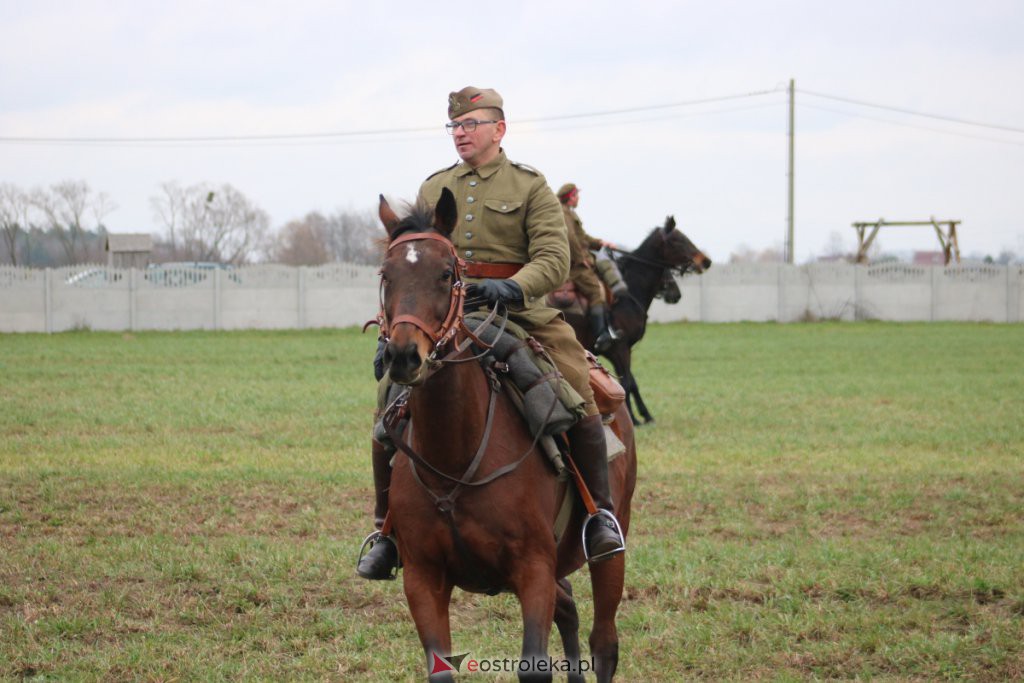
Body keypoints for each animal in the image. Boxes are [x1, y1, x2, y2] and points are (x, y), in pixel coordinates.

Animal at [372, 188, 634, 683]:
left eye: (447, 273)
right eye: (386, 275)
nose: (401, 356)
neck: (455, 458)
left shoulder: (534, 570)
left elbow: (534, 666)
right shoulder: (422, 578)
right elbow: (440, 668)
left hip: (612, 542)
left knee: (604, 642)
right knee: (569, 608)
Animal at [552, 216, 712, 423]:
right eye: (678, 240)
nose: (705, 261)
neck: (626, 294)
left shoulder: (616, 351)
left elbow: (630, 381)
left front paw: (645, 416)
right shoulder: (620, 348)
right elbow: (626, 382)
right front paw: (633, 420)